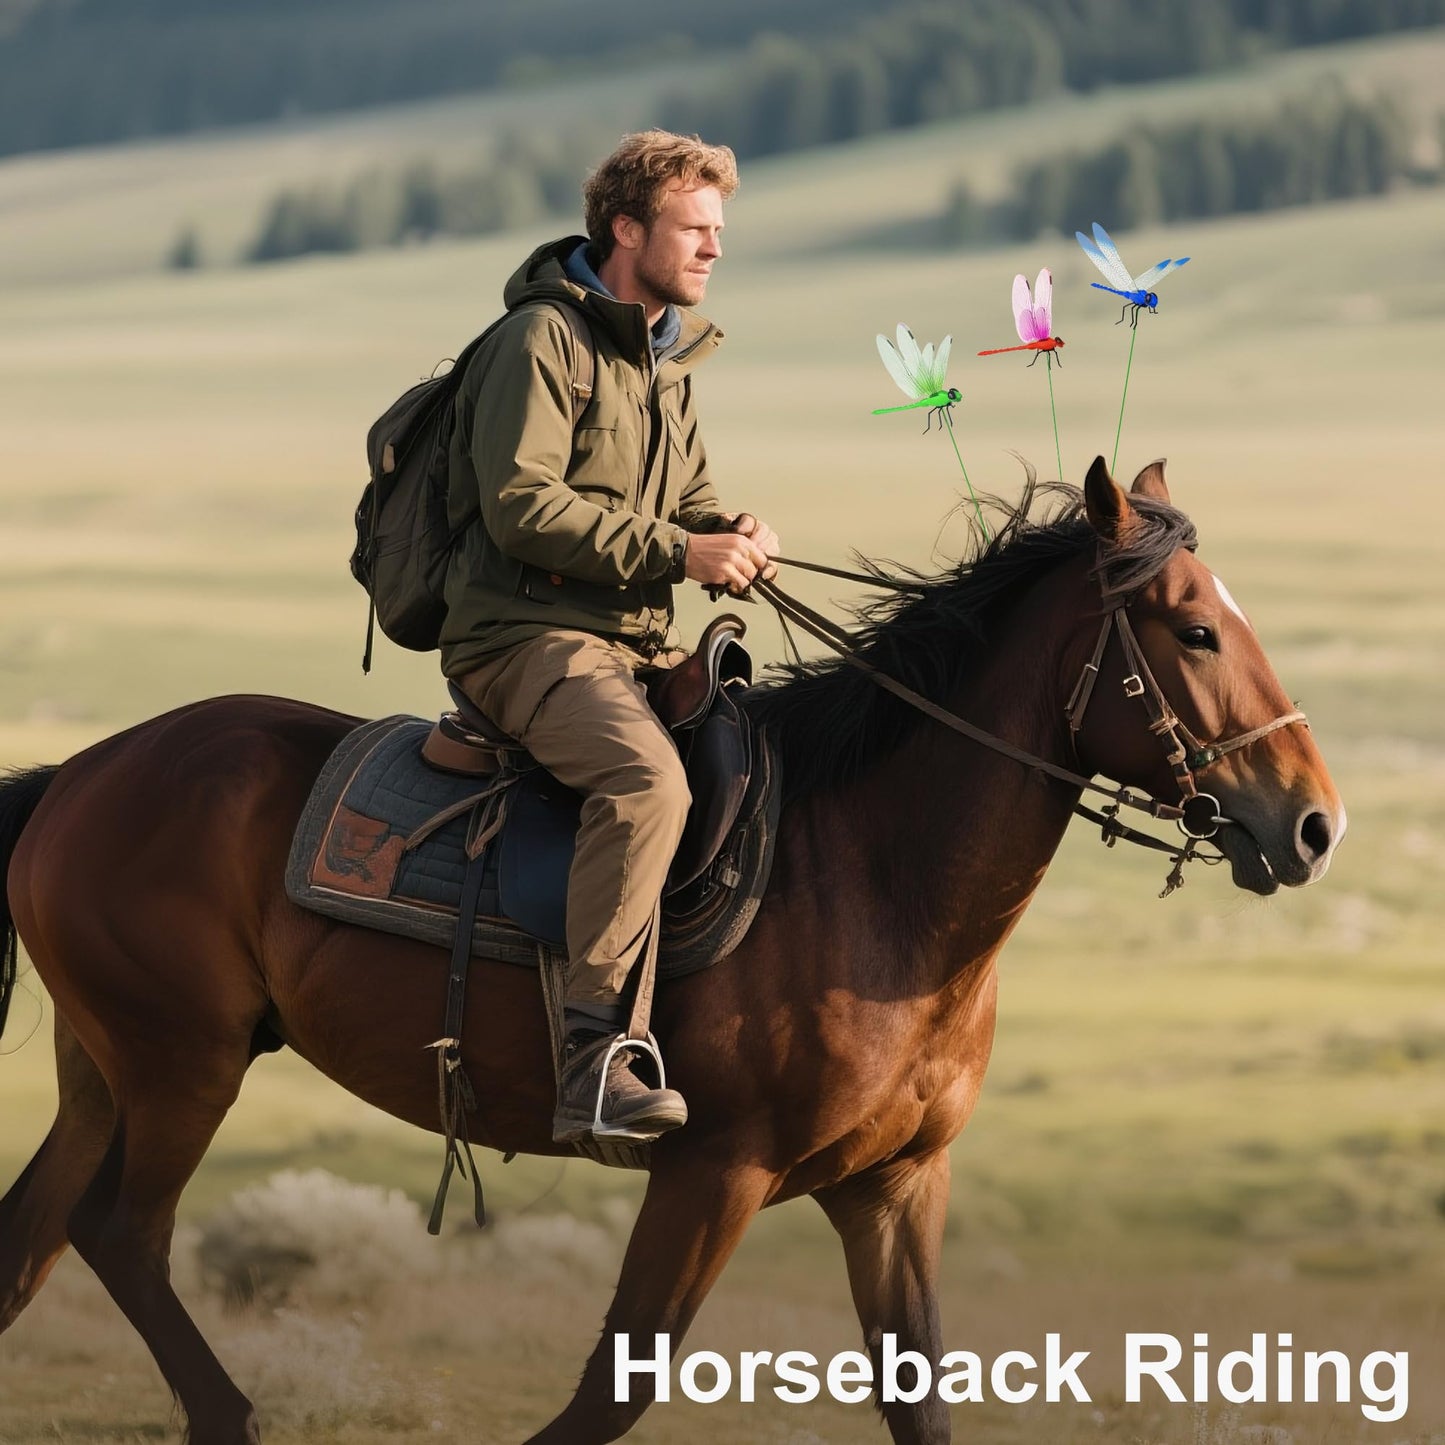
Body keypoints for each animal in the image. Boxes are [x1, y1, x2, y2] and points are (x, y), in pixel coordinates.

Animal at [0, 458, 1343, 1445]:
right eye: (1192, 632)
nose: (1311, 825)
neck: (870, 880)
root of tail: (81, 772)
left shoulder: (894, 1187)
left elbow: (916, 1395)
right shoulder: (711, 1172)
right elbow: (612, 1387)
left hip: (108, 1068)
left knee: (35, 1235)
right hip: (184, 1063)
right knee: (124, 1231)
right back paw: (229, 1413)